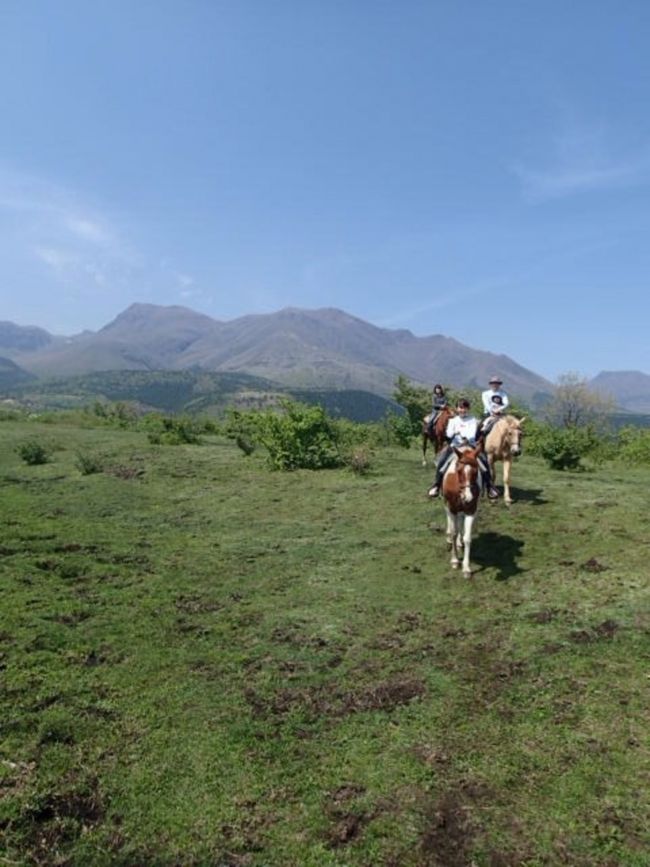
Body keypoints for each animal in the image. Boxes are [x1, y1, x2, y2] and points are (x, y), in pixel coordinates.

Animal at [440, 444, 480, 580]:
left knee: (460, 523)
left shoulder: (471, 510)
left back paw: (459, 542)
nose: (467, 497)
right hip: (447, 506)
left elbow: (467, 538)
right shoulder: (452, 508)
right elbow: (453, 532)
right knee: (450, 522)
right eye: (459, 471)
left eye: (475, 472)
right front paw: (455, 561)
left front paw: (466, 568)